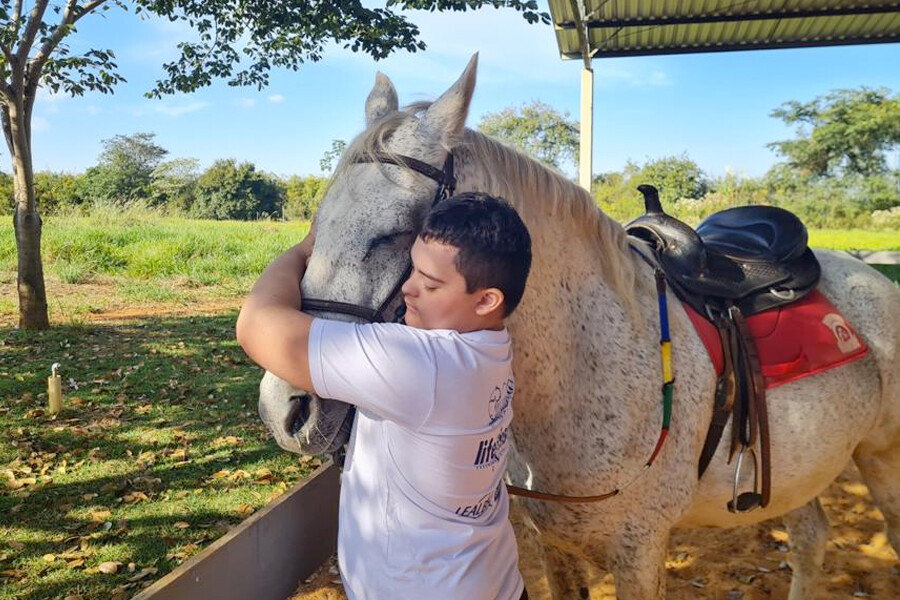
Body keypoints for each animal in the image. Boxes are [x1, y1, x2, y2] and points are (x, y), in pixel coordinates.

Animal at [258, 55, 900, 596]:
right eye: (316, 225)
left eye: (396, 233)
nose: (286, 410)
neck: (586, 366)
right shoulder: (555, 543)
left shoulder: (641, 552)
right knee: (812, 539)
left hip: (881, 460)